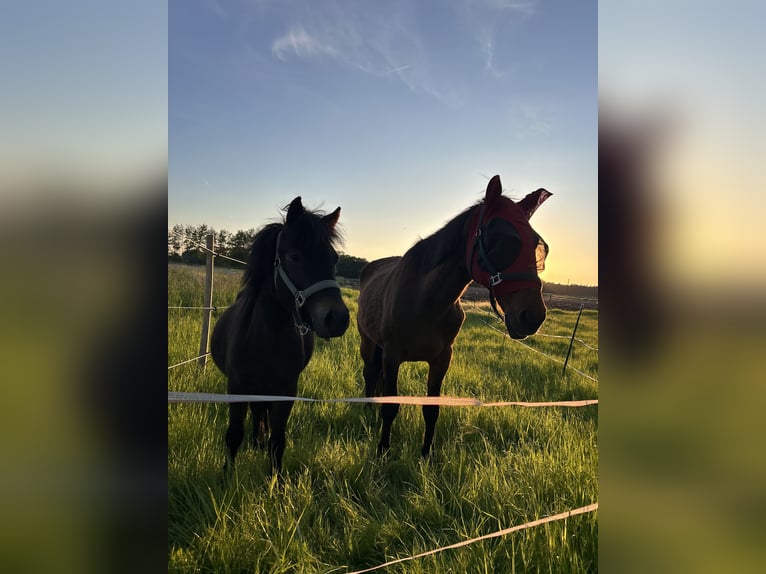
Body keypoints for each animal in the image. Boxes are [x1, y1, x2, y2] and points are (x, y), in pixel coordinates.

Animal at [211, 196, 350, 476]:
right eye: (295, 256)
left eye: (333, 258)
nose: (337, 319)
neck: (264, 339)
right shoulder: (236, 388)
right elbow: (233, 435)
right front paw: (226, 477)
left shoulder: (285, 390)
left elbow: (278, 440)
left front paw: (276, 481)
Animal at [356, 175, 551, 457]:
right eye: (501, 239)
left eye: (539, 246)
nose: (533, 316)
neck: (425, 302)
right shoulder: (392, 356)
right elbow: (391, 407)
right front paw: (383, 451)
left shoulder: (441, 359)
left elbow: (432, 410)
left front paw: (426, 456)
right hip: (368, 342)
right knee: (370, 374)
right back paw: (366, 410)